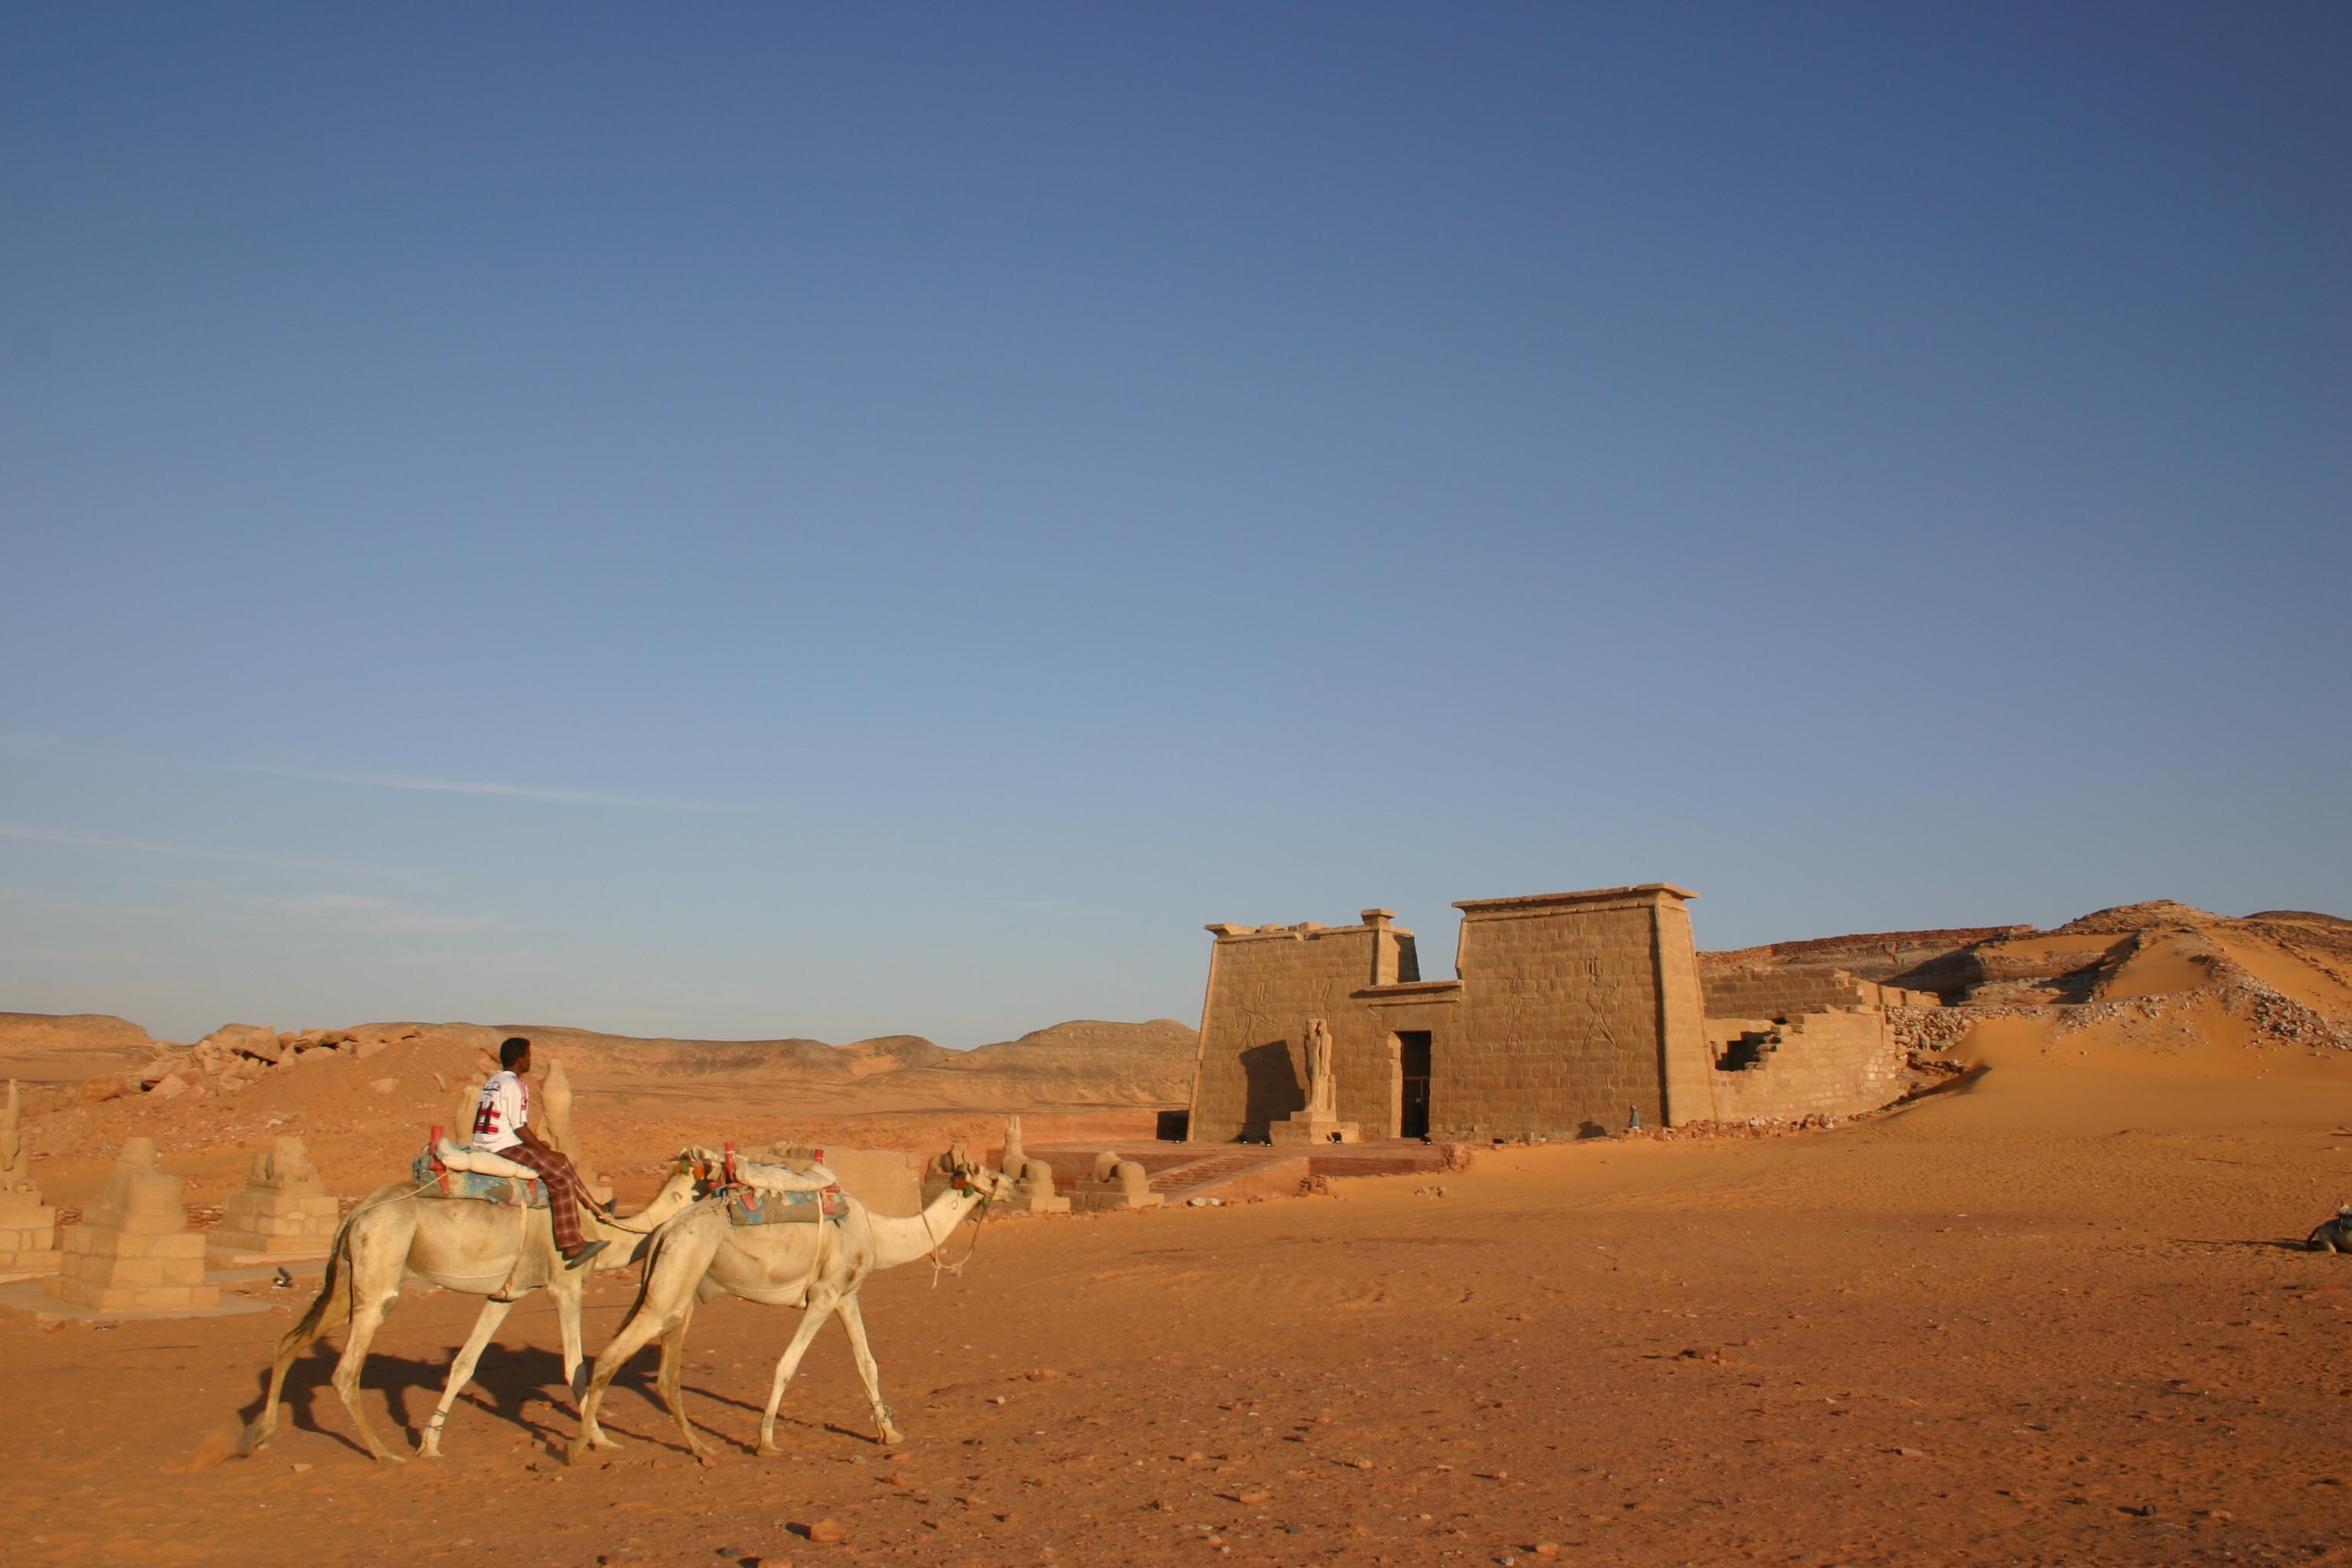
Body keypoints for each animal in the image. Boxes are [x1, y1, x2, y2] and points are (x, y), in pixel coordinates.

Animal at [248, 1147, 710, 1466]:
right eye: (708, 1166)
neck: (606, 1233)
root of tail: (355, 1213)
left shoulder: (504, 1294)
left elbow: (464, 1364)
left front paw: (430, 1443)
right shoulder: (565, 1286)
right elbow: (574, 1367)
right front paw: (599, 1439)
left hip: (348, 1280)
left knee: (289, 1342)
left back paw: (259, 1434)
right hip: (379, 1268)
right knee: (346, 1370)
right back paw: (382, 1452)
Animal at [573, 1142, 1016, 1457]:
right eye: (992, 1176)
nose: (1012, 1186)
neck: (877, 1233)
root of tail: (665, 1230)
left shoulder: (847, 1295)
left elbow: (868, 1364)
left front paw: (889, 1432)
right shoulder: (823, 1295)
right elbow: (787, 1364)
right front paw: (766, 1440)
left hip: (678, 1286)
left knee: (664, 1373)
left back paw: (699, 1448)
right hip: (676, 1276)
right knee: (612, 1357)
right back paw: (586, 1446)